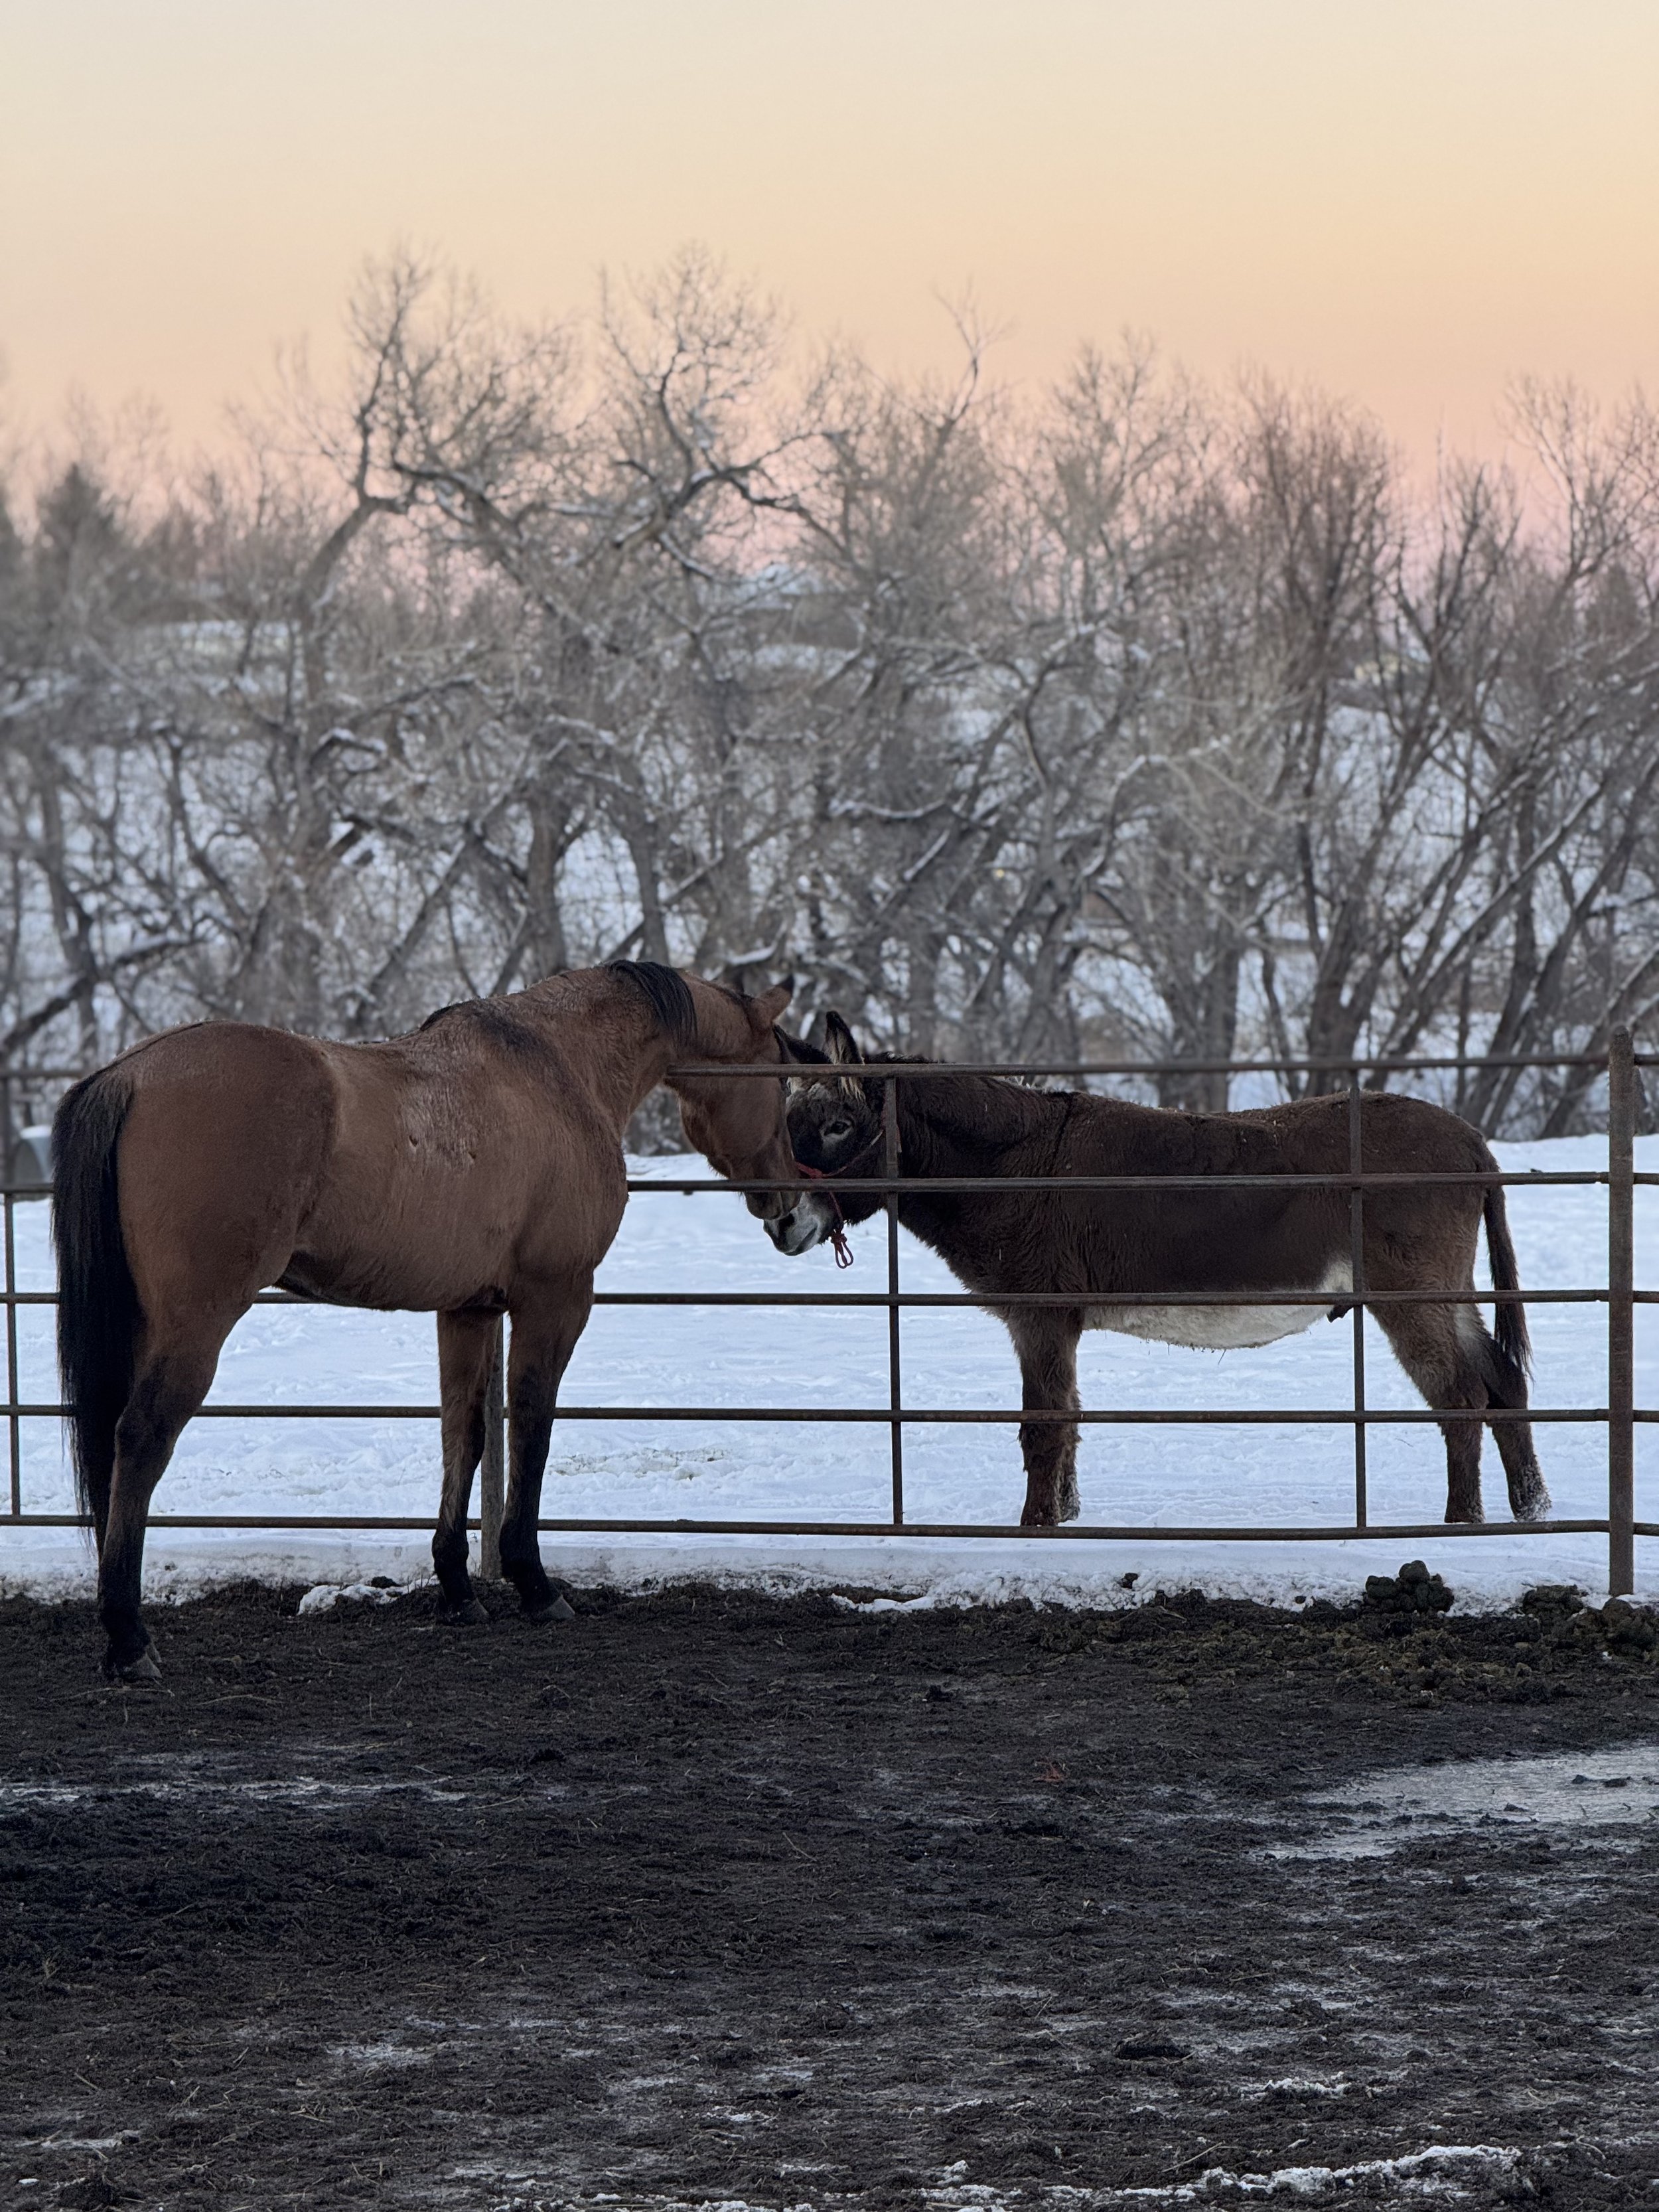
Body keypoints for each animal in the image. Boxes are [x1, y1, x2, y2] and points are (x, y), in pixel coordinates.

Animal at [52, 961, 819, 1681]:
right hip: (195, 1324)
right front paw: (535, 1585)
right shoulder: (556, 1300)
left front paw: (457, 1588)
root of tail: (131, 1074)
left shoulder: (469, 1309)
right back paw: (129, 1640)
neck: (559, 1066)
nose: (793, 1213)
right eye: (782, 1083)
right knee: (141, 1438)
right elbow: (532, 1429)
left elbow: (465, 1436)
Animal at [778, 1014, 1549, 1530]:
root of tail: (1472, 1141)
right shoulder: (1059, 1324)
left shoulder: (1039, 1317)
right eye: (791, 1125)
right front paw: (1067, 1518)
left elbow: (1043, 1428)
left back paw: (1460, 1523)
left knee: (1461, 1396)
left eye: (840, 1127)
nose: (778, 1221)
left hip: (1410, 1295)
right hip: (1447, 1293)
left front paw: (1034, 1529)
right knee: (1501, 1383)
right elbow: (1070, 1419)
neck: (1012, 1162)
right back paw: (1531, 1512)